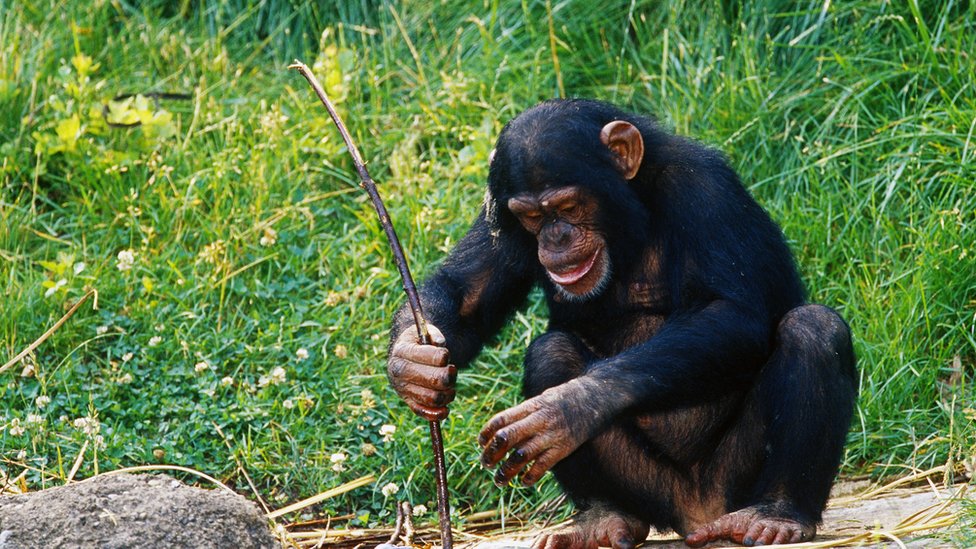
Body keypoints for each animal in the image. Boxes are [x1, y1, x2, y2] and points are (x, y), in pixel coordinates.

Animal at [386, 99, 856, 548]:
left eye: (568, 206)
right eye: (531, 217)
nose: (555, 237)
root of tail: (698, 516)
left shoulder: (706, 188)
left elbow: (733, 312)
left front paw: (568, 408)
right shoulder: (498, 214)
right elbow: (467, 294)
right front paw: (413, 363)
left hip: (732, 481)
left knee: (813, 329)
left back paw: (778, 515)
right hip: (652, 490)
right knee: (550, 351)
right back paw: (601, 519)